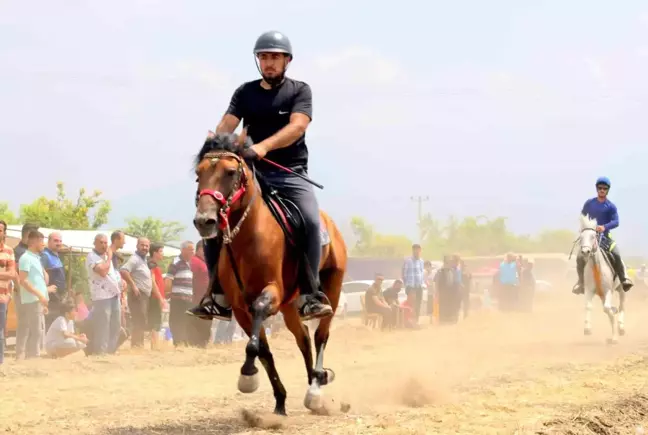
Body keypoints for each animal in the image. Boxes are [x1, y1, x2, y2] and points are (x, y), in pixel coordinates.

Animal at [192, 132, 346, 416]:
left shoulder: (270, 292)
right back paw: (312, 382)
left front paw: (247, 375)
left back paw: (315, 391)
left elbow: (256, 336)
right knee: (303, 338)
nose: (204, 220)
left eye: (230, 172)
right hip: (289, 306)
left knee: (320, 336)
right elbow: (262, 350)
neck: (247, 238)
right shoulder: (240, 308)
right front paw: (279, 402)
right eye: (199, 174)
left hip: (333, 288)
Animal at [580, 215, 624, 344]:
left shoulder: (608, 290)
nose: (585, 251)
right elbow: (589, 306)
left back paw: (620, 328)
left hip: (621, 289)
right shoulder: (589, 290)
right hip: (602, 295)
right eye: (581, 237)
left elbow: (607, 309)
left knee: (622, 306)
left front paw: (615, 336)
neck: (596, 266)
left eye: (593, 236)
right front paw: (587, 329)